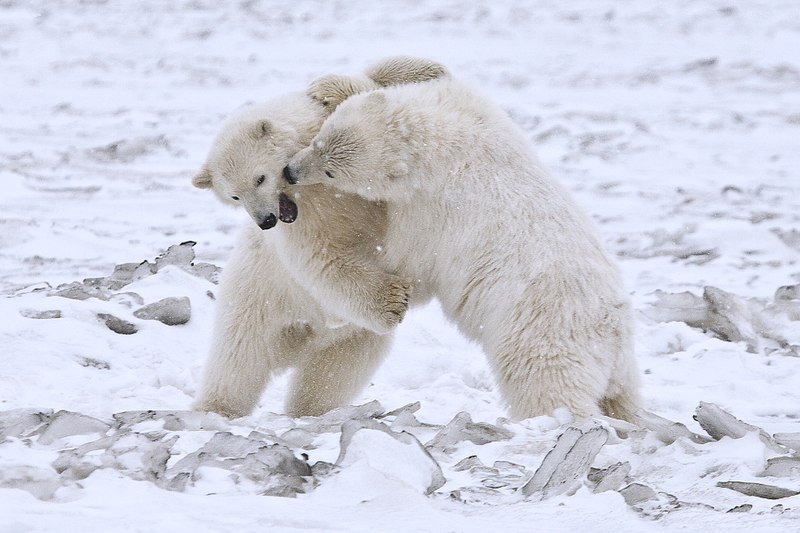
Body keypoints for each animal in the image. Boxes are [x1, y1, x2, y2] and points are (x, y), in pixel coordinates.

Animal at [190, 57, 446, 416]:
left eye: (259, 178)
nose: (266, 220)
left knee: (330, 376)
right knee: (236, 361)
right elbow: (321, 259)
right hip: (254, 303)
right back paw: (216, 408)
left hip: (349, 339)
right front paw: (393, 300)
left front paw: (330, 88)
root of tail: (299, 340)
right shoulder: (302, 224)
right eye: (234, 196)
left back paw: (310, 409)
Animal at [284, 77, 640, 422]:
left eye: (330, 172)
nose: (290, 172)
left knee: (544, 382)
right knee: (622, 397)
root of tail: (613, 328)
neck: (444, 142)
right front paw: (330, 88)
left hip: (542, 330)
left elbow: (407, 258)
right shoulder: (479, 111)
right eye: (318, 141)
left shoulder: (432, 208)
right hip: (619, 364)